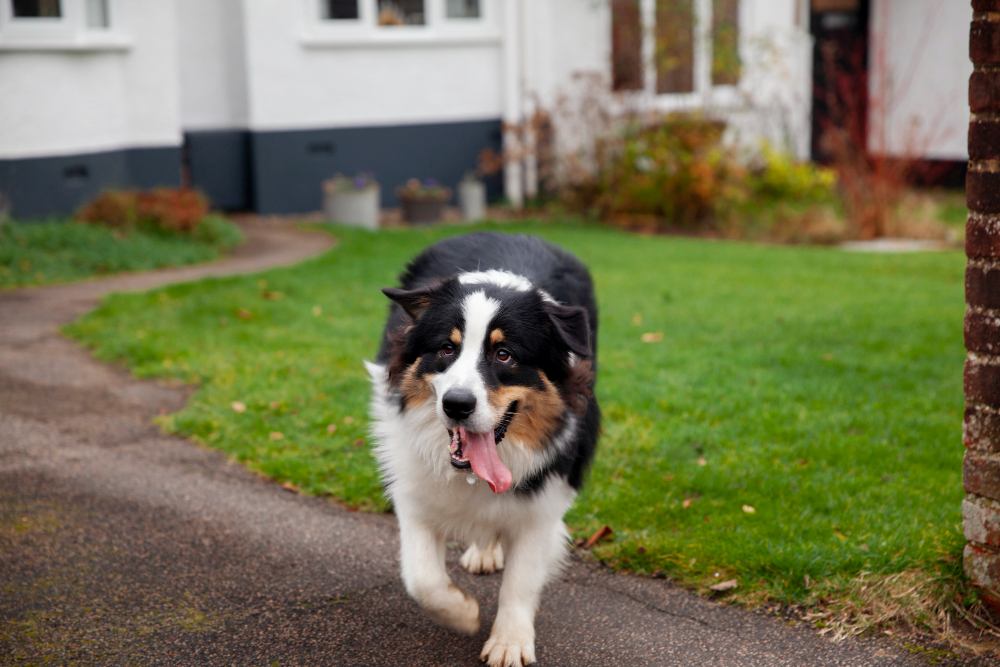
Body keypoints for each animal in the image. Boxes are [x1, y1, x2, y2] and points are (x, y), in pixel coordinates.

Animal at [368, 231, 600, 667]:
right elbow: (422, 577)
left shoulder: (545, 500)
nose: (456, 405)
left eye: (504, 354)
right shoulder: (413, 487)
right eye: (446, 349)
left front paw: (510, 641)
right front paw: (462, 613)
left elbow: (521, 580)